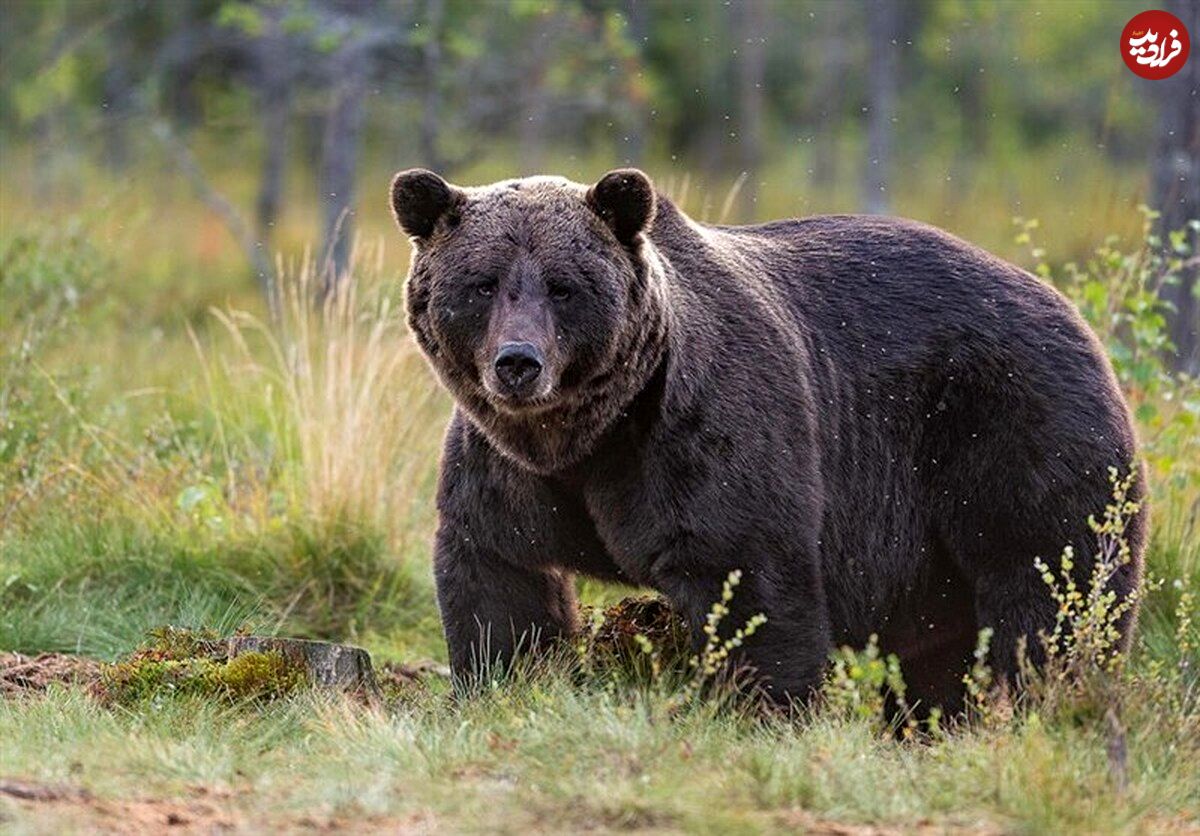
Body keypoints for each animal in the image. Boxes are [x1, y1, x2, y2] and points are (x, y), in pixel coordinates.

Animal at [388, 166, 1147, 705]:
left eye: (564, 285)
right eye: (483, 284)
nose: (519, 362)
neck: (589, 437)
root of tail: (1072, 310)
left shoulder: (701, 435)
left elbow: (750, 579)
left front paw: (761, 707)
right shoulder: (505, 469)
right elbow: (501, 582)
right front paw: (503, 682)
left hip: (1013, 428)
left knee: (1050, 584)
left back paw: (1042, 700)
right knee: (945, 642)